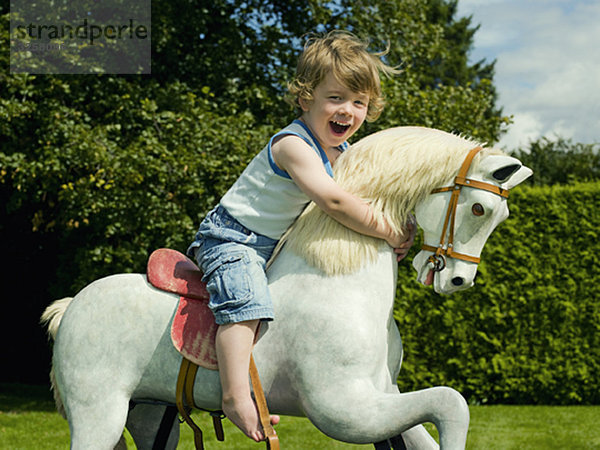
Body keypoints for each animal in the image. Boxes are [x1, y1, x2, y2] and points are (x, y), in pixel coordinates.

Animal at [42, 126, 528, 450]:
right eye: (480, 209)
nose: (458, 280)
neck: (338, 280)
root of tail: (71, 306)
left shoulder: (385, 394)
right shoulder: (343, 409)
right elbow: (452, 402)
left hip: (148, 414)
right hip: (98, 414)